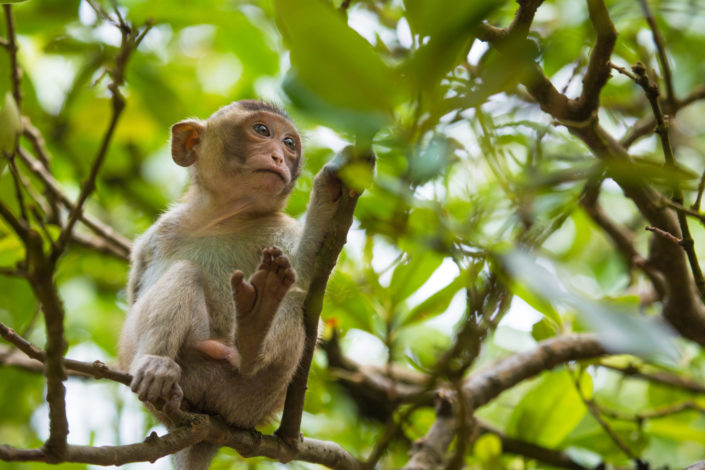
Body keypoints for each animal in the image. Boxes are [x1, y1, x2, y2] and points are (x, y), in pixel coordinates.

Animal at [120, 101, 344, 468]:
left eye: (289, 143)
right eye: (262, 131)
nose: (279, 157)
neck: (223, 218)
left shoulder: (279, 228)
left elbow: (310, 269)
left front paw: (330, 190)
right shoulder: (159, 233)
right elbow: (137, 288)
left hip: (255, 398)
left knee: (291, 304)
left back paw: (252, 338)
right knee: (185, 273)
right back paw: (157, 368)